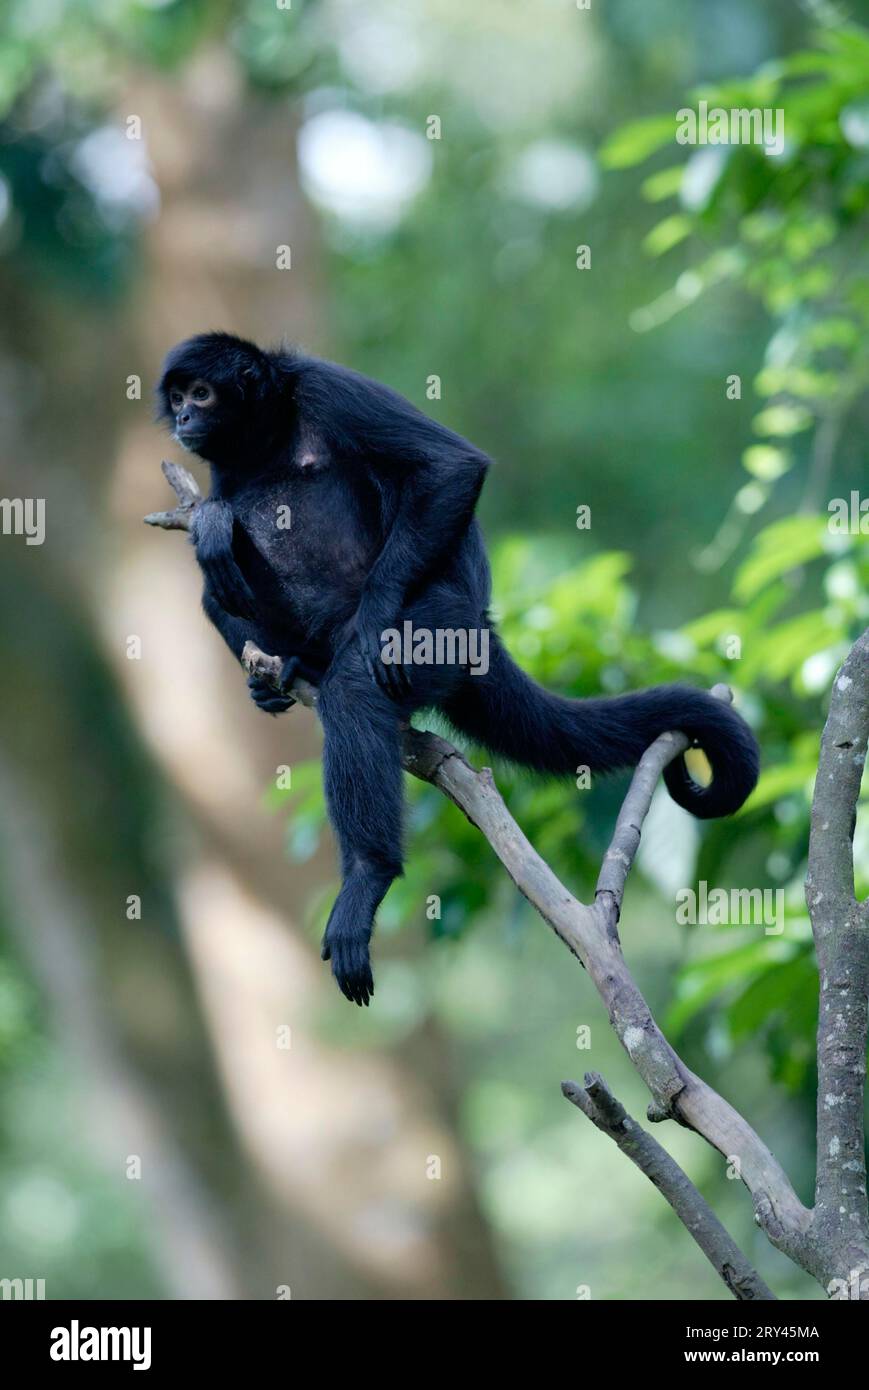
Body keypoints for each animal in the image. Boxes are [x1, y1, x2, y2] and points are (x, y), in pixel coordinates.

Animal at [157, 332, 760, 1006]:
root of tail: (483, 626)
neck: (270, 433)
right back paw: (290, 665)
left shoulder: (326, 388)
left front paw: (371, 624)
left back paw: (367, 872)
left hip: (444, 627)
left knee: (354, 685)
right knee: (218, 592)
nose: (183, 419)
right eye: (177, 398)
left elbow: (451, 467)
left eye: (201, 394)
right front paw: (211, 522)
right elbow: (221, 536)